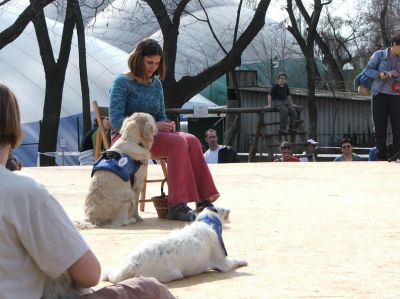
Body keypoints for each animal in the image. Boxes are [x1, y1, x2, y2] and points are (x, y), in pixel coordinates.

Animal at [102, 207, 247, 284]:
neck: (207, 222)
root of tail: (133, 263)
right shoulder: (224, 264)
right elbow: (235, 260)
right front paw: (243, 261)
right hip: (171, 275)